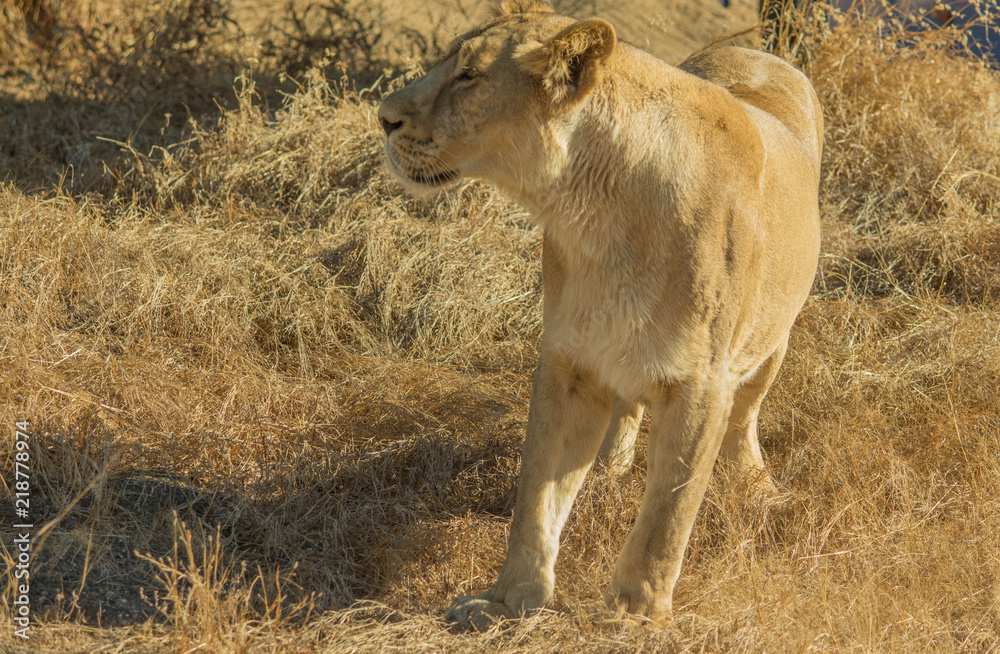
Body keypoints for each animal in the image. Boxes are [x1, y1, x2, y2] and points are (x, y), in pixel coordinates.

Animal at [378, 0, 822, 626]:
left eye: (469, 75)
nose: (383, 118)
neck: (598, 215)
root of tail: (755, 51)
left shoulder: (702, 383)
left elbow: (667, 513)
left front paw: (635, 614)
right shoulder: (569, 358)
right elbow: (536, 494)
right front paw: (508, 599)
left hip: (773, 340)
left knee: (746, 415)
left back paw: (754, 481)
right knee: (628, 405)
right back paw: (612, 467)